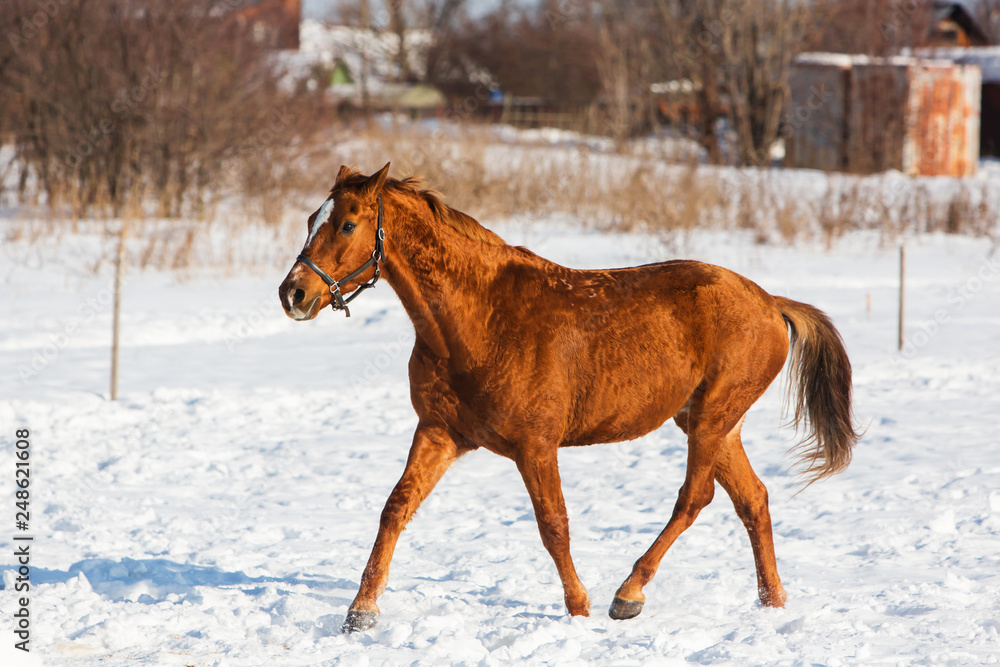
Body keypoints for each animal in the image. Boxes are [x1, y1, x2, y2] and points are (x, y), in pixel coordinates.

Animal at [278, 163, 860, 633]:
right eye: (310, 219)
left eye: (347, 223)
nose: (294, 293)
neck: (479, 320)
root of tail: (770, 301)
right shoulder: (440, 433)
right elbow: (395, 509)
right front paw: (360, 612)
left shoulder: (536, 446)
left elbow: (553, 527)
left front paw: (579, 609)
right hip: (707, 422)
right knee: (753, 500)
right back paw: (772, 602)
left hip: (713, 418)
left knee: (695, 499)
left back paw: (628, 594)